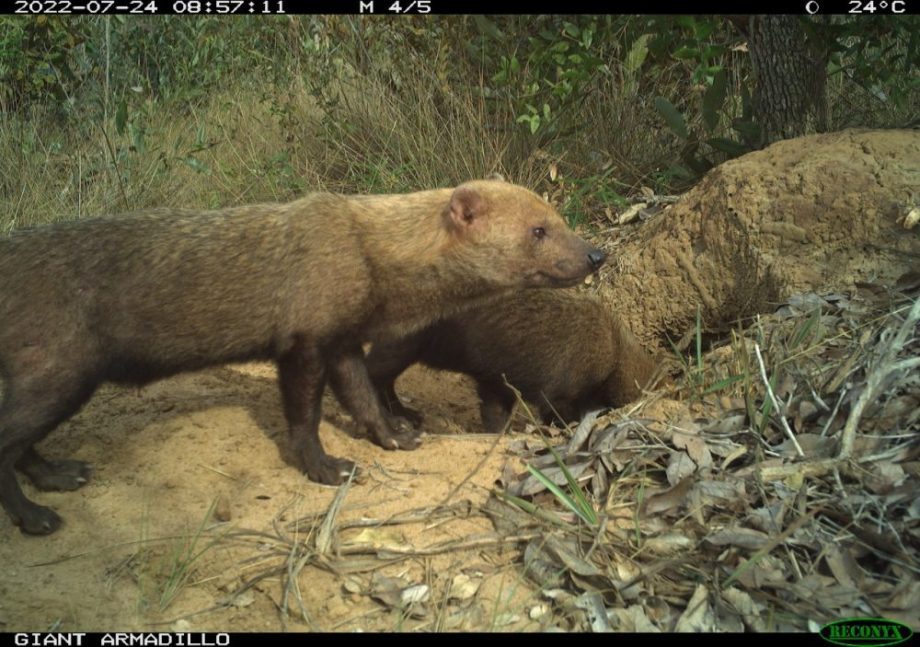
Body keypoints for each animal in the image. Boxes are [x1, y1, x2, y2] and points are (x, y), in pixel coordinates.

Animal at [0, 180, 608, 536]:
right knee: (8, 441)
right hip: (58, 373)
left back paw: (58, 475)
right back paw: (34, 517)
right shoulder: (303, 342)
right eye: (538, 229)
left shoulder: (341, 342)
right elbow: (305, 418)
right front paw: (326, 469)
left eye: (557, 217)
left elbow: (364, 399)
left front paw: (396, 435)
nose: (597, 254)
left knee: (21, 442)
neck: (368, 251)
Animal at [366, 290, 656, 436]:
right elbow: (555, 411)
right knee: (376, 374)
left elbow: (494, 412)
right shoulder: (561, 389)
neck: (615, 350)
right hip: (404, 344)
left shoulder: (495, 378)